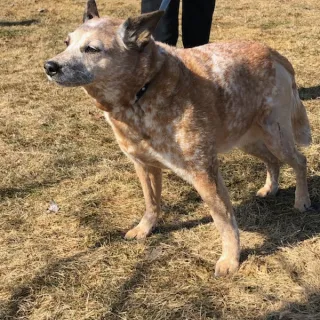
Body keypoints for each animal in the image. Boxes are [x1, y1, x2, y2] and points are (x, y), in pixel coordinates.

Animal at [43, 0, 312, 276]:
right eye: (66, 43)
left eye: (92, 49)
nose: (49, 66)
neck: (141, 92)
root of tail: (274, 53)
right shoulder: (143, 164)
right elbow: (151, 202)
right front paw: (145, 229)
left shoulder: (204, 172)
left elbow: (224, 221)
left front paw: (230, 260)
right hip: (248, 139)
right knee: (272, 161)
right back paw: (270, 188)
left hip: (275, 135)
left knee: (299, 161)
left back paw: (302, 201)